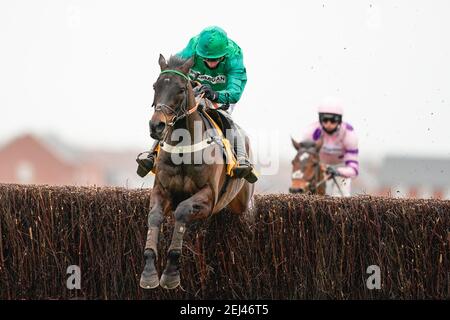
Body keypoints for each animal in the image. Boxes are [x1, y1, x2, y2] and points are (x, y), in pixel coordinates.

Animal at [139, 54, 255, 290]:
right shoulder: (161, 190)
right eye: (155, 86)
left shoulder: (209, 198)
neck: (184, 149)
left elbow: (183, 210)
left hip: (241, 199)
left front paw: (171, 273)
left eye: (182, 89)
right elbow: (154, 216)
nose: (157, 126)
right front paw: (149, 273)